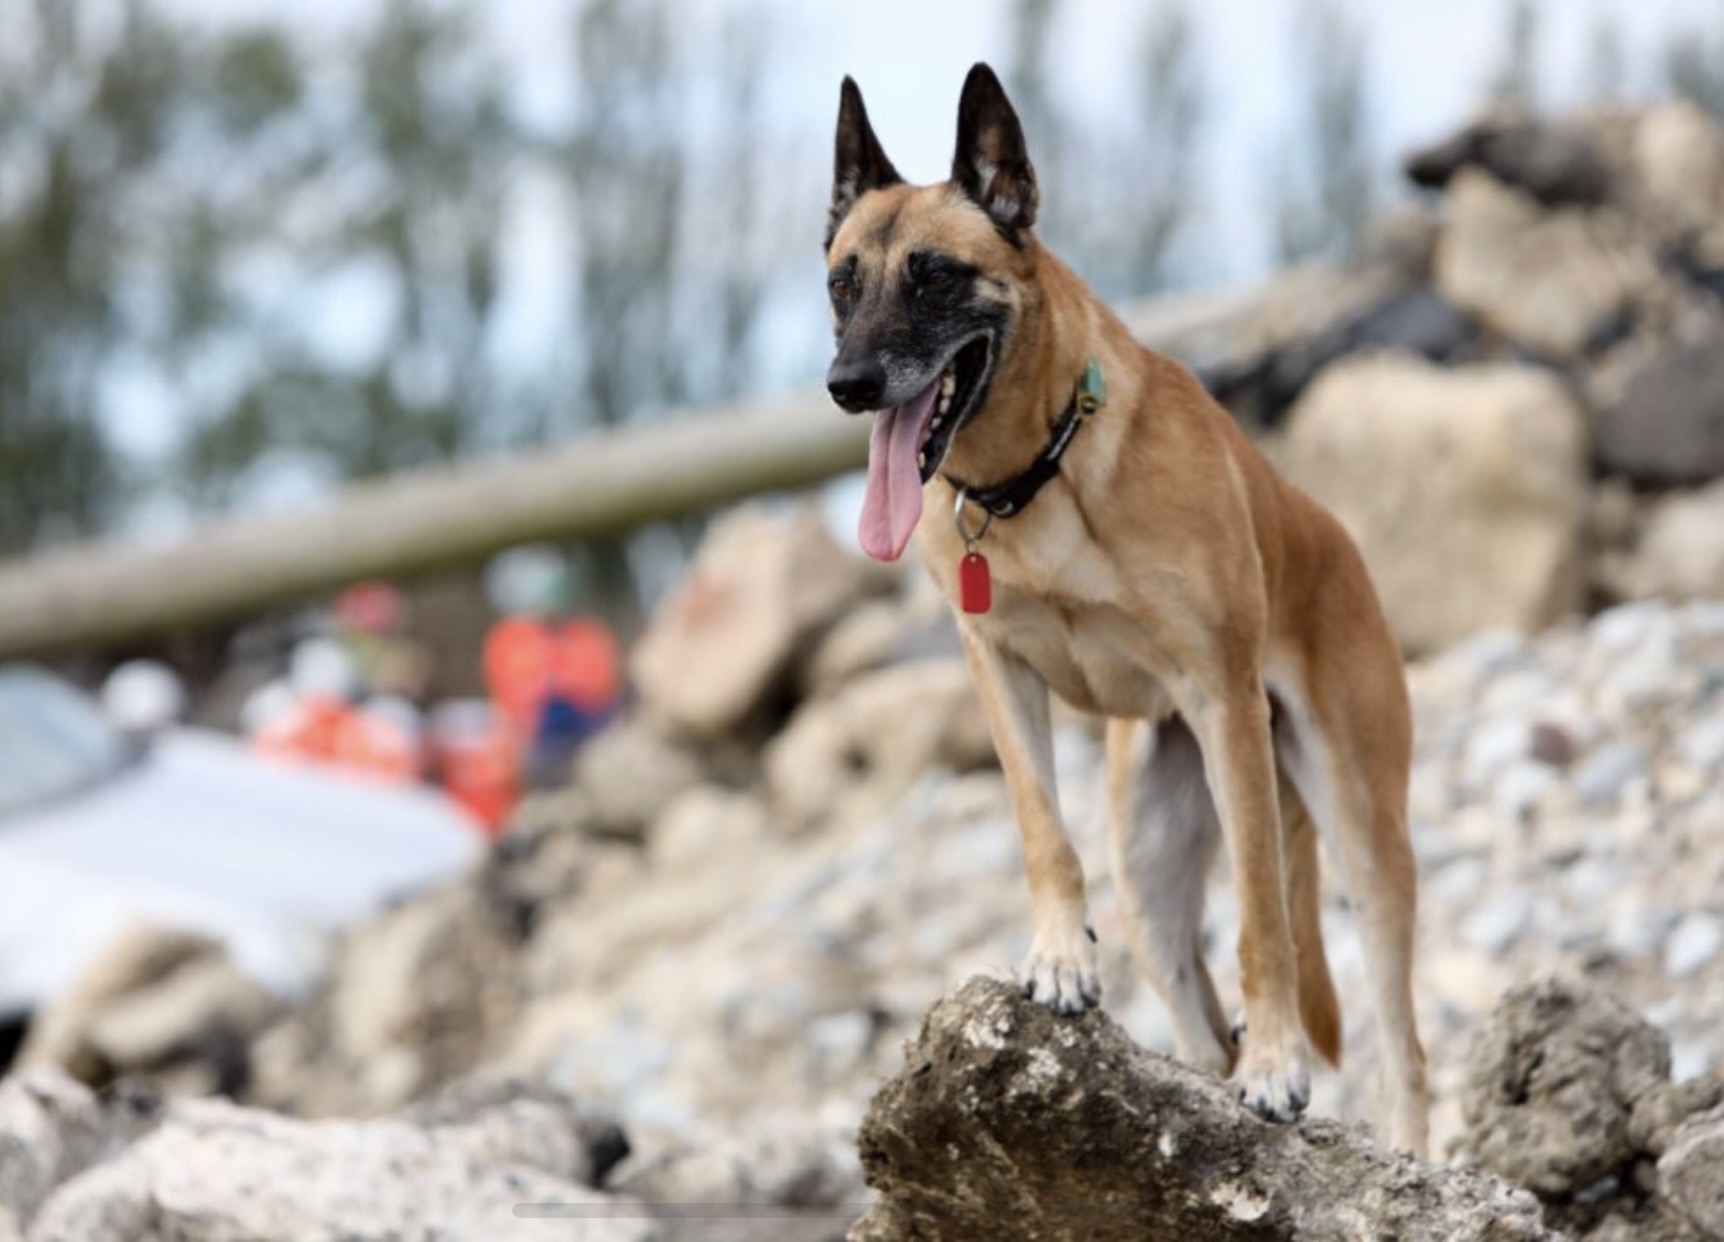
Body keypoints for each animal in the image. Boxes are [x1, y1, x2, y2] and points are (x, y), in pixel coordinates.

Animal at [820, 65, 1427, 1152]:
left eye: (933, 276)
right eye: (843, 283)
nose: (847, 384)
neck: (1035, 474)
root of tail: (1329, 532)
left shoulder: (1225, 707)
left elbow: (1262, 922)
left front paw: (1278, 1067)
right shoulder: (1000, 672)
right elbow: (1038, 826)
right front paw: (1061, 957)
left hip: (1361, 835)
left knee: (1402, 1047)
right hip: (1148, 870)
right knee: (1197, 1021)